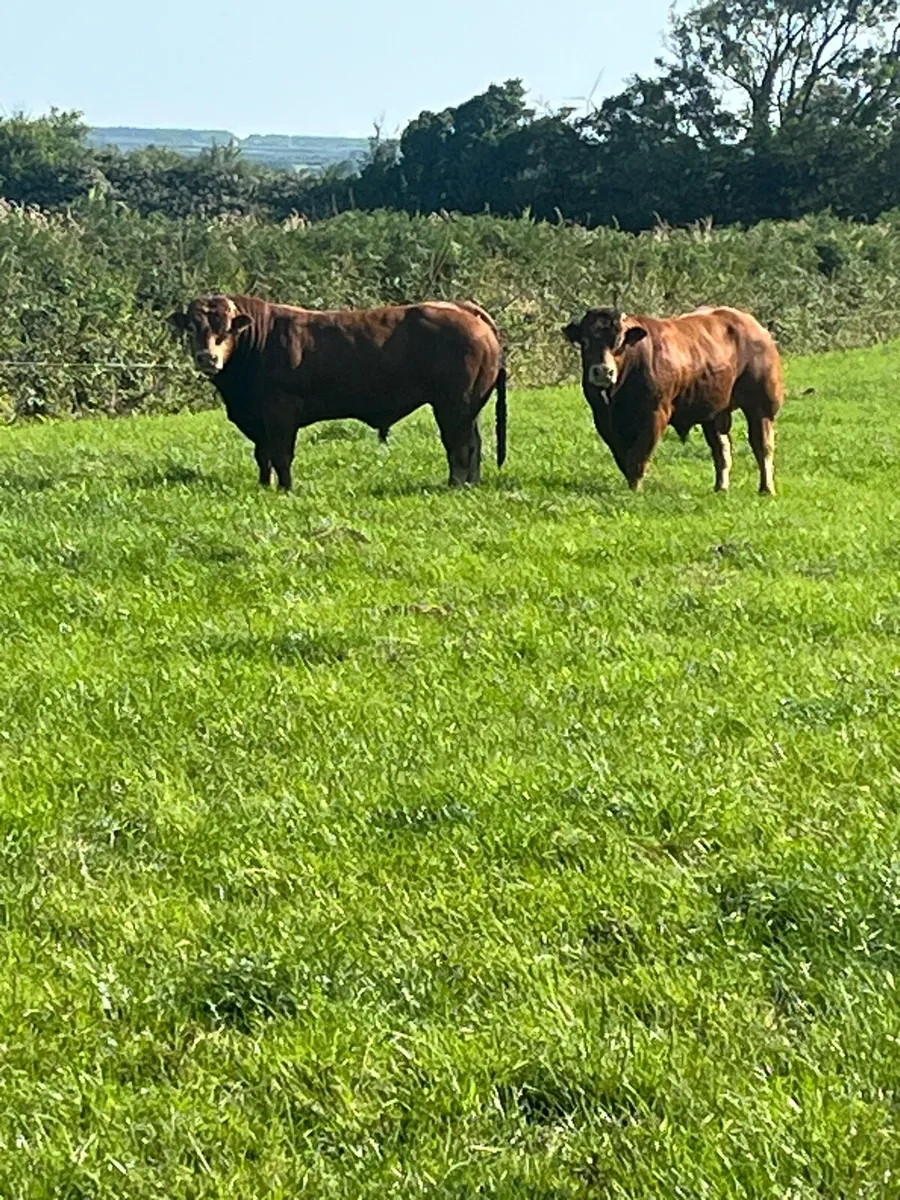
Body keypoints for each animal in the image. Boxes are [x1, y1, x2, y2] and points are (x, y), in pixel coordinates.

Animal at [168, 294, 507, 491]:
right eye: (192, 327)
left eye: (227, 328)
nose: (207, 358)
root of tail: (461, 308)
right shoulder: (257, 420)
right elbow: (262, 455)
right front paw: (264, 486)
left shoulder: (280, 412)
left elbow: (280, 454)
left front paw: (286, 489)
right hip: (469, 406)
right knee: (474, 444)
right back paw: (471, 484)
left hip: (453, 404)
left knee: (459, 446)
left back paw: (455, 484)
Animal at [562, 305, 784, 494]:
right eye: (585, 342)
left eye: (618, 343)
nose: (602, 371)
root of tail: (752, 324)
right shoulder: (604, 420)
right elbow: (623, 457)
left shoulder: (655, 414)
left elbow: (638, 456)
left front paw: (635, 489)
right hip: (714, 413)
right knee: (722, 449)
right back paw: (720, 488)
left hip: (762, 406)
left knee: (762, 446)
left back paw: (766, 489)